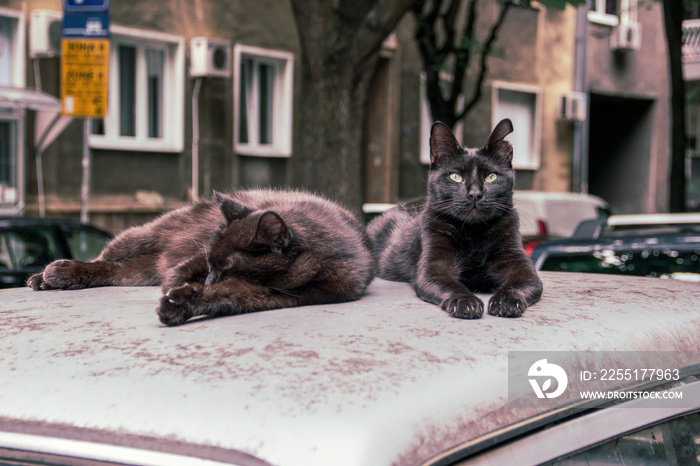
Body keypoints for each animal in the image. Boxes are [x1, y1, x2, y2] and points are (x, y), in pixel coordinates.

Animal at [29, 187, 374, 326]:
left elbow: (227, 298)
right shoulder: (198, 253)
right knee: (104, 259)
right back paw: (51, 275)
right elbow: (182, 270)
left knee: (114, 272)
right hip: (142, 237)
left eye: (226, 270)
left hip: (139, 269)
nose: (207, 278)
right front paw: (178, 286)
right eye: (211, 264)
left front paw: (183, 304)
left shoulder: (277, 295)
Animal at [370, 118, 544, 318]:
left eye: (491, 177)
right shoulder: (434, 267)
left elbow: (521, 283)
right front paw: (466, 302)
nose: (475, 194)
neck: (473, 233)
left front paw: (506, 301)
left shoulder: (520, 264)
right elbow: (452, 285)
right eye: (456, 176)